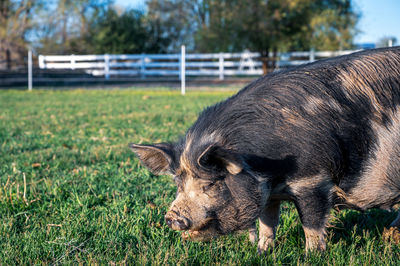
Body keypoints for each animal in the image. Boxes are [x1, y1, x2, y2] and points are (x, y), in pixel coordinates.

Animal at [130, 46, 400, 252]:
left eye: (210, 184)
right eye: (178, 183)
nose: (171, 217)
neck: (271, 171)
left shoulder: (313, 180)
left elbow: (311, 223)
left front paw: (312, 255)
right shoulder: (269, 193)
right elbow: (267, 223)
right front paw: (262, 251)